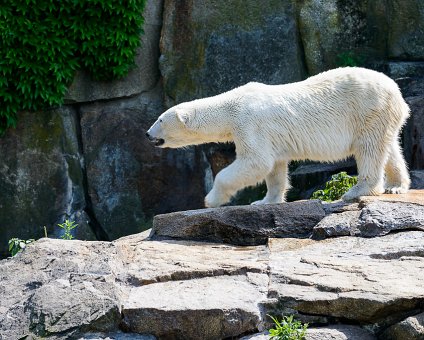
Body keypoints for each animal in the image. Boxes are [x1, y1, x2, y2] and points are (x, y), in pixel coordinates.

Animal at [147, 66, 410, 207]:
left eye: (159, 119)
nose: (148, 134)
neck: (231, 107)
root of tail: (396, 89)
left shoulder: (250, 124)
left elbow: (256, 162)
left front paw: (211, 200)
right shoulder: (270, 136)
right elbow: (274, 167)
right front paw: (265, 201)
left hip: (367, 110)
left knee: (369, 149)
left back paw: (356, 191)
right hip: (382, 116)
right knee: (388, 147)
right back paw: (396, 186)